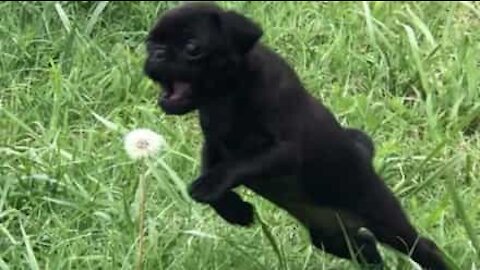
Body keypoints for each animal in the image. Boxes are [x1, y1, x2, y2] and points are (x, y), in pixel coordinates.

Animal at [143, 2, 450, 270]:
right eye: (150, 44)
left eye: (192, 48)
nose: (157, 54)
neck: (226, 96)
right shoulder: (214, 144)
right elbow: (211, 174)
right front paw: (235, 210)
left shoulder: (283, 151)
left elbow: (238, 165)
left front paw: (214, 189)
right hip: (331, 237)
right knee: (366, 248)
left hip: (380, 215)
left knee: (420, 246)